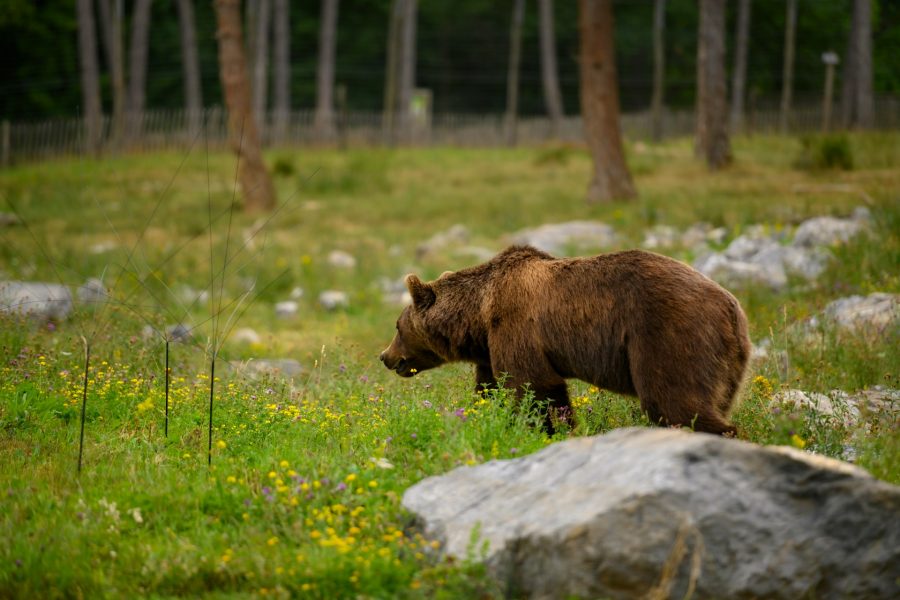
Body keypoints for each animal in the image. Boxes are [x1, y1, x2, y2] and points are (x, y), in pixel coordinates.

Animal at [380, 245, 751, 436]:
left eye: (397, 326)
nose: (385, 356)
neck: (479, 317)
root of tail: (732, 308)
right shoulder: (490, 348)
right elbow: (491, 390)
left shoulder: (517, 327)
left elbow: (535, 387)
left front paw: (547, 431)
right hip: (724, 364)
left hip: (668, 335)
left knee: (675, 402)